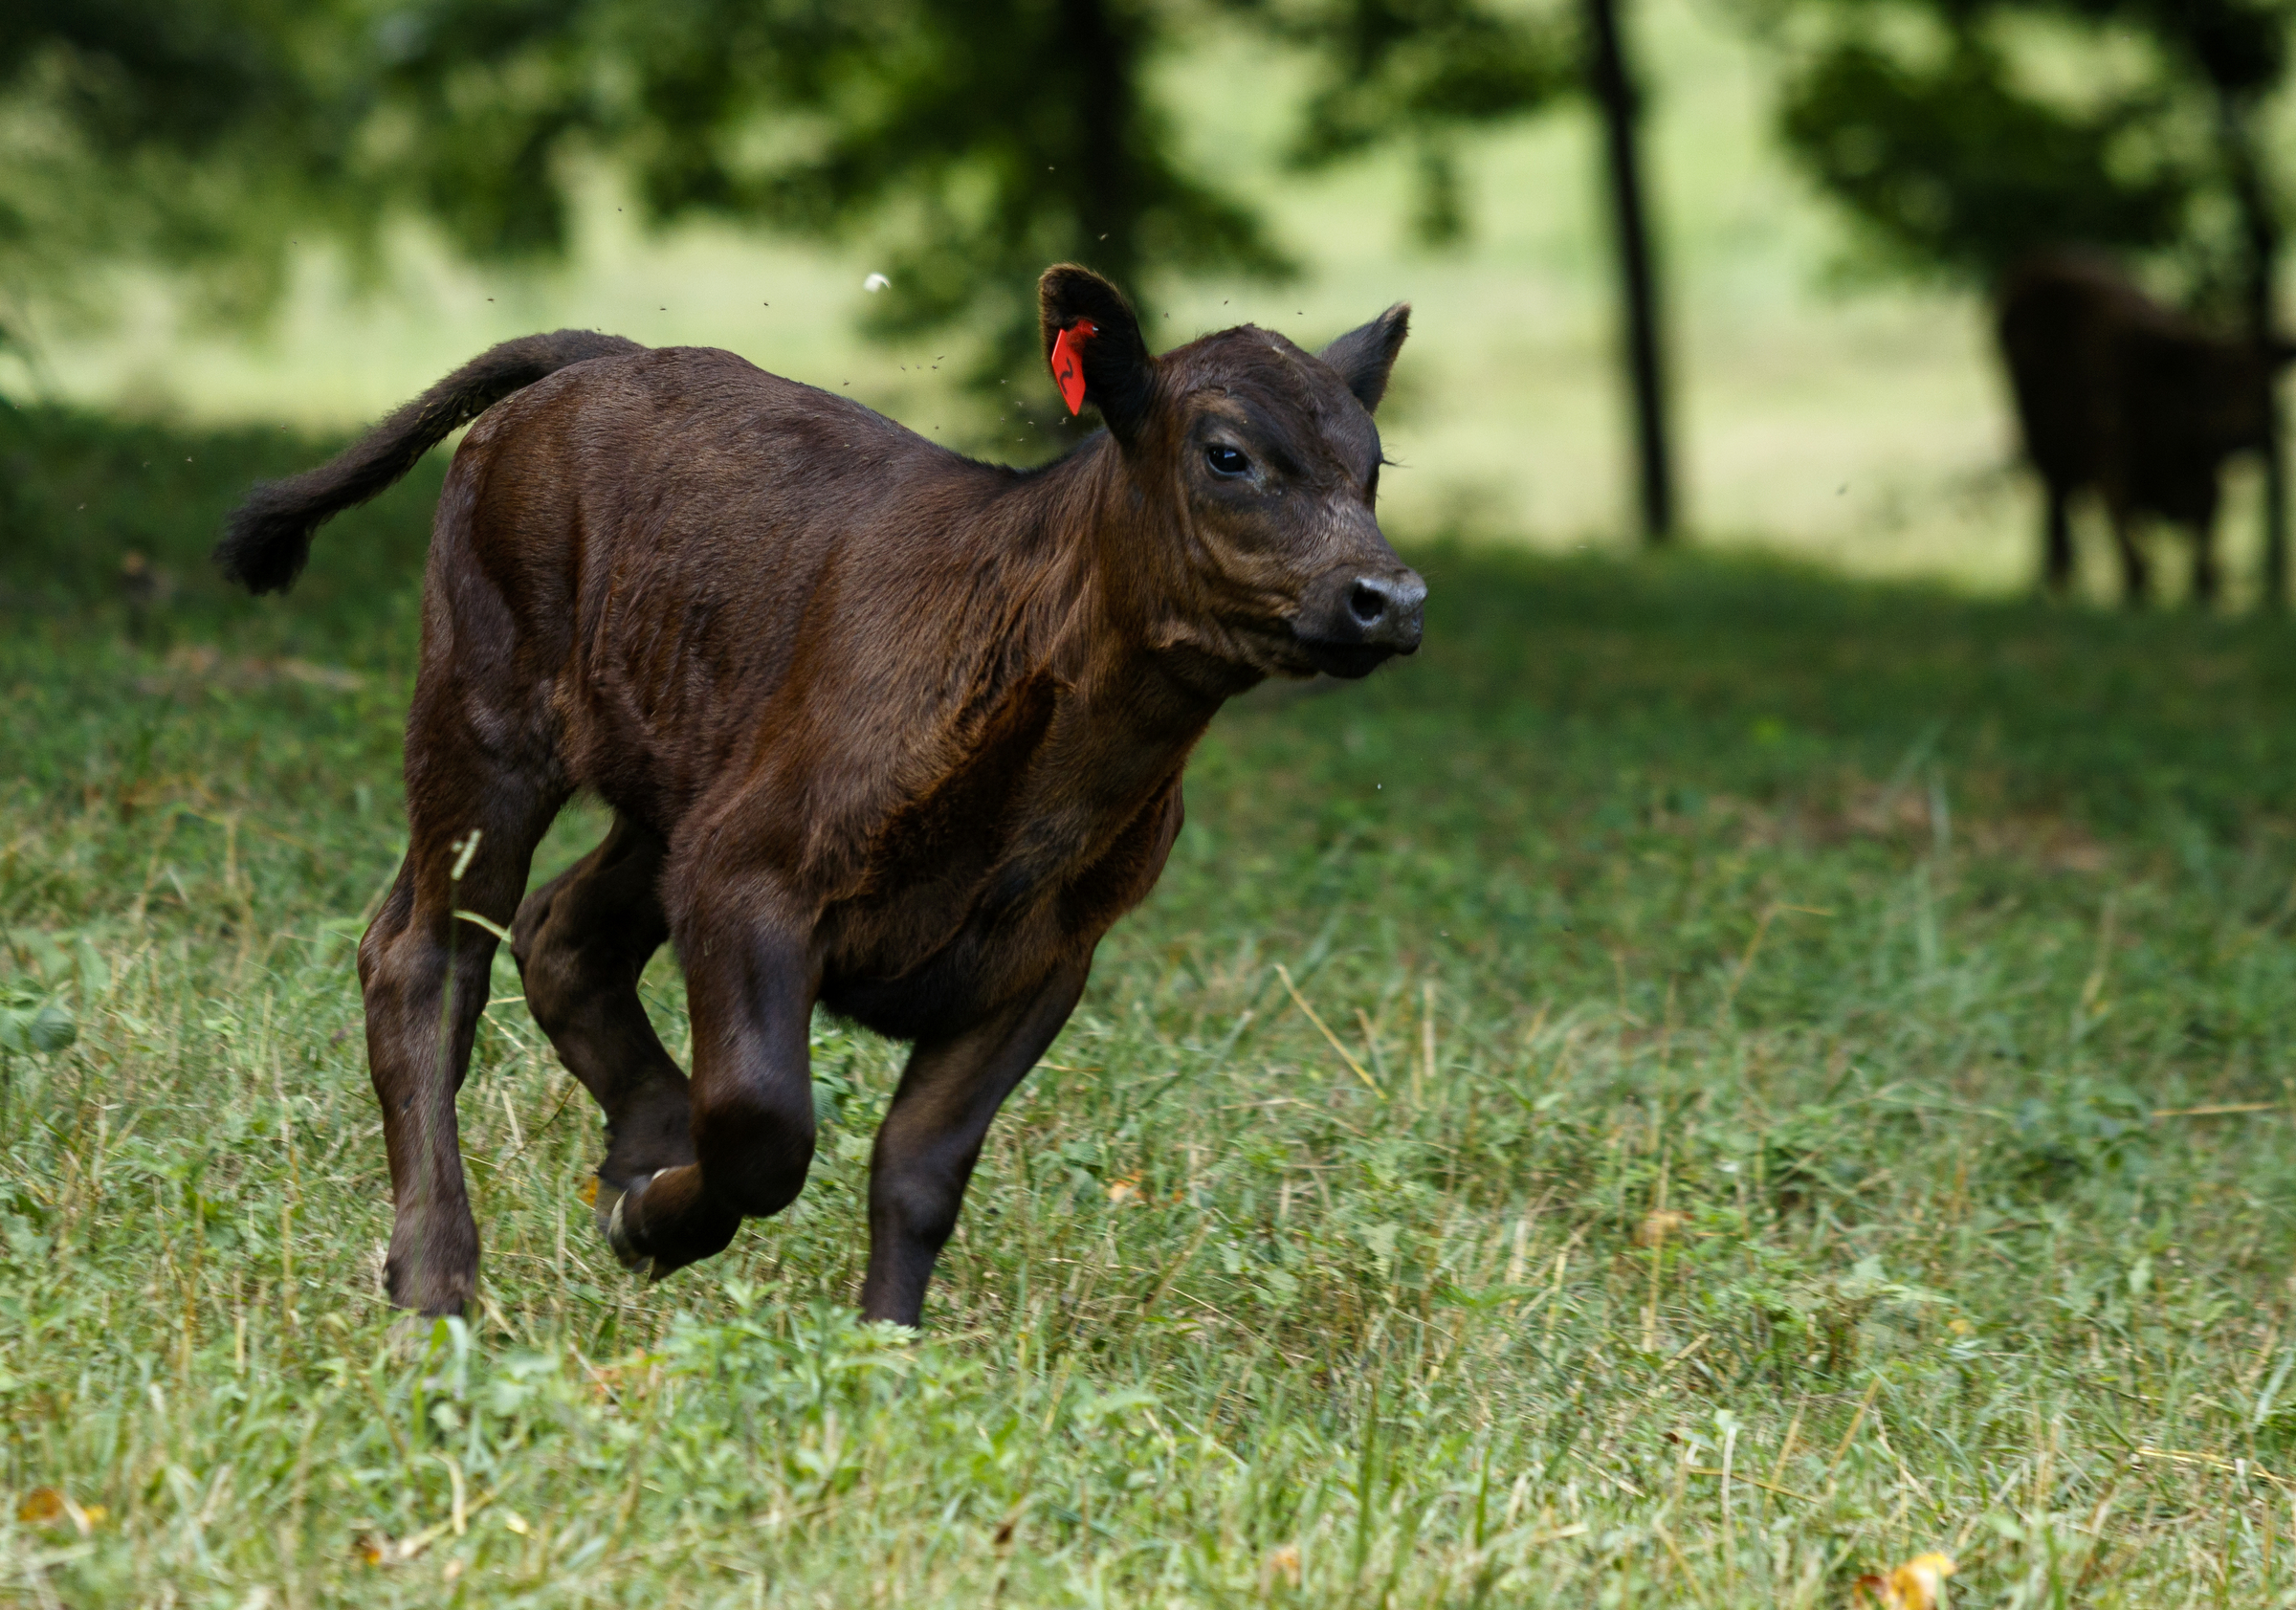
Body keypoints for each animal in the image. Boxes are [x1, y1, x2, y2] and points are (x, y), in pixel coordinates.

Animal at [216, 265, 1423, 1328]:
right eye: (1228, 455)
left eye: (1372, 469)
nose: (1392, 597)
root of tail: (607, 358)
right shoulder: (750, 872)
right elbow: (764, 1127)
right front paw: (656, 1221)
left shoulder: (1049, 955)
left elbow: (919, 1171)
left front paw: (886, 1350)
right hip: (485, 712)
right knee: (424, 954)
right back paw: (436, 1281)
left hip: (674, 778)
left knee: (563, 933)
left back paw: (636, 1144)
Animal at [1997, 250, 2285, 604]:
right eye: (2209, 389)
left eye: (2263, 390)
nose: (2246, 440)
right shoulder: (2115, 474)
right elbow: (2135, 560)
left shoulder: (2204, 490)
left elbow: (2204, 560)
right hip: (2048, 453)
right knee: (2057, 517)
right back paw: (2059, 586)